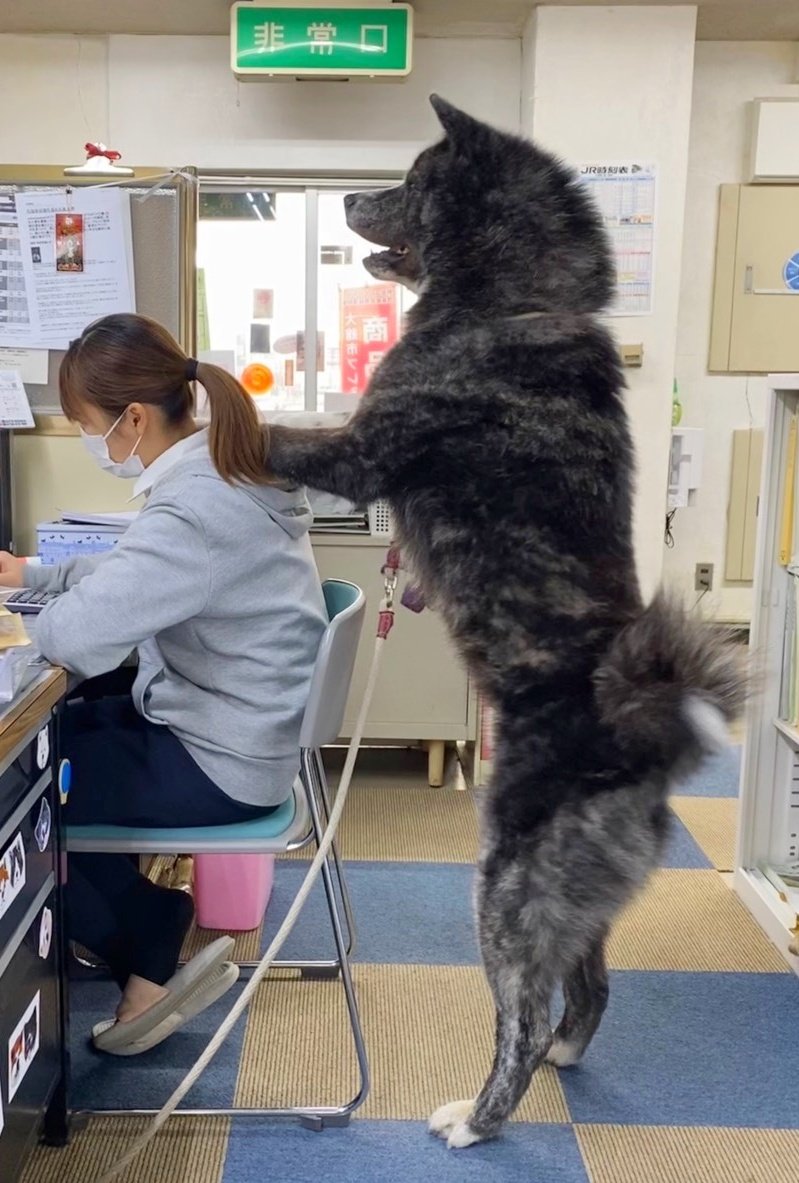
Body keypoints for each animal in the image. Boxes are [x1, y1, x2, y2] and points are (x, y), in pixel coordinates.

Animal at [265, 97, 748, 1149]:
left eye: (410, 180)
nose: (350, 198)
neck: (504, 305)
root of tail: (645, 742)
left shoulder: (359, 454)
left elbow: (272, 432)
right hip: (569, 899)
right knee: (590, 986)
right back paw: (567, 1054)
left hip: (505, 889)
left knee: (519, 1017)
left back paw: (478, 1116)